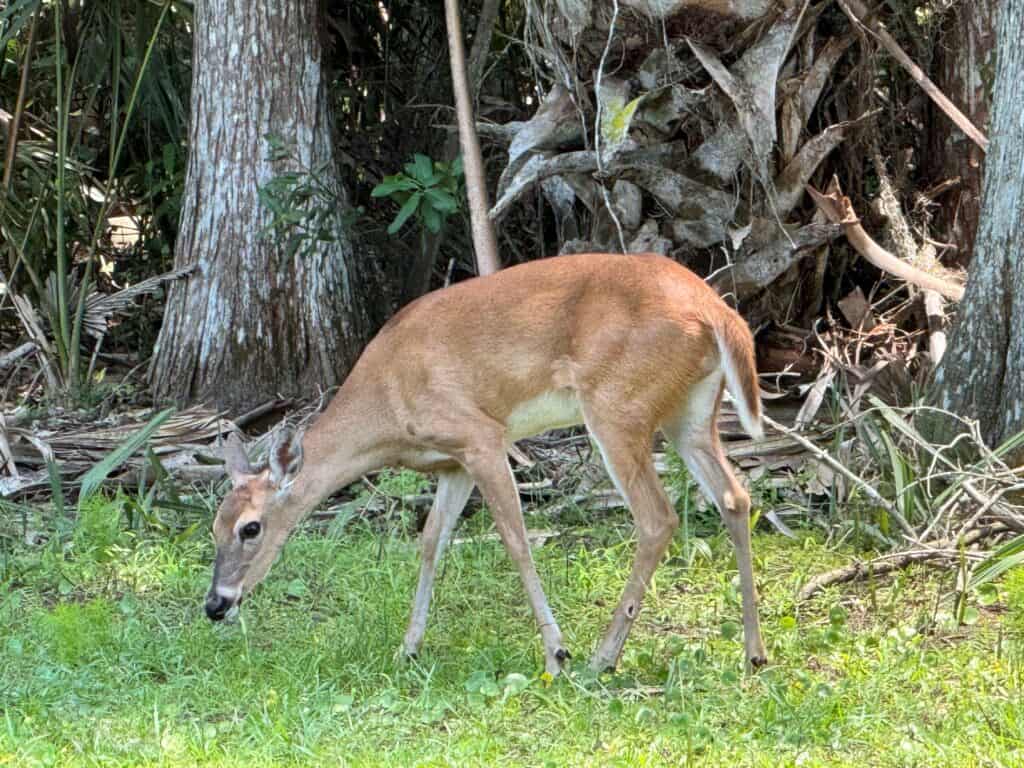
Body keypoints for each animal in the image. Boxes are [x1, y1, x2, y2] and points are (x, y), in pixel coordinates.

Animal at [207, 252, 768, 675]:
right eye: (213, 528)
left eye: (251, 528)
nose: (215, 604)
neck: (386, 403)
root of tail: (716, 311)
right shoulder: (452, 461)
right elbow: (431, 541)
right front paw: (408, 648)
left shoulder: (481, 435)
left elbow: (515, 539)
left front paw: (556, 652)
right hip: (690, 410)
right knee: (735, 497)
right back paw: (754, 653)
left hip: (618, 404)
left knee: (657, 518)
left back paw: (602, 659)